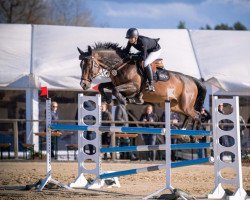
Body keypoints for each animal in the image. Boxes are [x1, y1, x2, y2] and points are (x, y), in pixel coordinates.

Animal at [77, 42, 206, 128]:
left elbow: (115, 90)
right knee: (190, 115)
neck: (120, 66)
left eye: (88, 64)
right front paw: (108, 99)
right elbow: (103, 86)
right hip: (175, 106)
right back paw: (184, 133)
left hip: (186, 105)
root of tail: (191, 79)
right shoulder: (117, 84)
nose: (84, 84)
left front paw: (124, 100)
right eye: (81, 65)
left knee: (197, 115)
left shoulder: (133, 86)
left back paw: (196, 136)